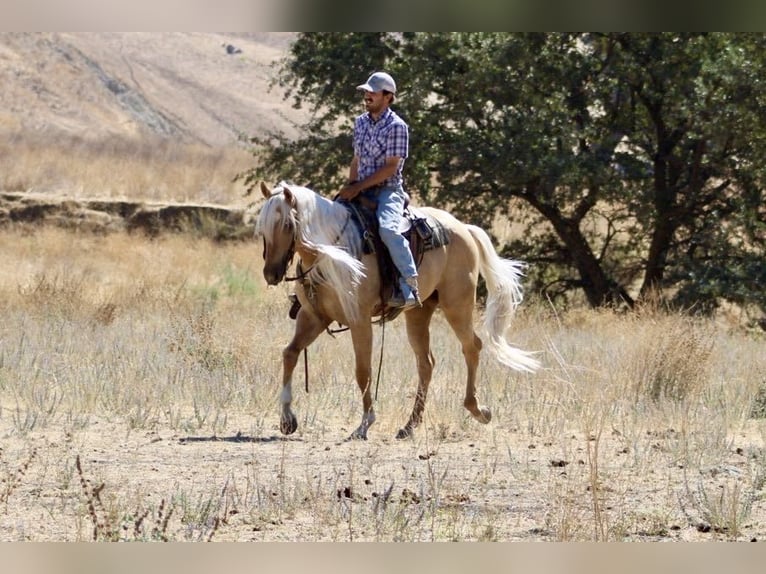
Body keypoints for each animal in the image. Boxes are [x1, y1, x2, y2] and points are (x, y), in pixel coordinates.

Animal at [255, 181, 540, 440]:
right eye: (263, 228)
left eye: (288, 225)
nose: (271, 274)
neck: (331, 253)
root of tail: (464, 228)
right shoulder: (312, 316)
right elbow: (290, 354)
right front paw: (287, 419)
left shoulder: (359, 320)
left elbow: (363, 371)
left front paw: (364, 424)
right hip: (418, 312)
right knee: (426, 363)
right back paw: (409, 426)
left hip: (457, 305)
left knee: (472, 347)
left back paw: (478, 410)